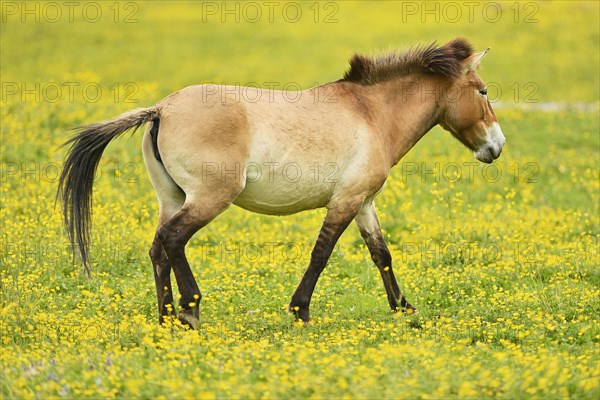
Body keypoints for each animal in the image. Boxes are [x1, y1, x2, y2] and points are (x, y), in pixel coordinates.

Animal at [58, 37, 504, 328]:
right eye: (483, 91)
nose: (496, 147)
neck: (371, 113)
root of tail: (161, 109)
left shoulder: (363, 202)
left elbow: (382, 254)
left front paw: (403, 309)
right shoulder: (344, 202)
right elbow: (321, 255)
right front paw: (300, 311)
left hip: (174, 198)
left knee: (160, 247)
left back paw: (167, 316)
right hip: (210, 198)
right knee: (172, 239)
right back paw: (189, 311)